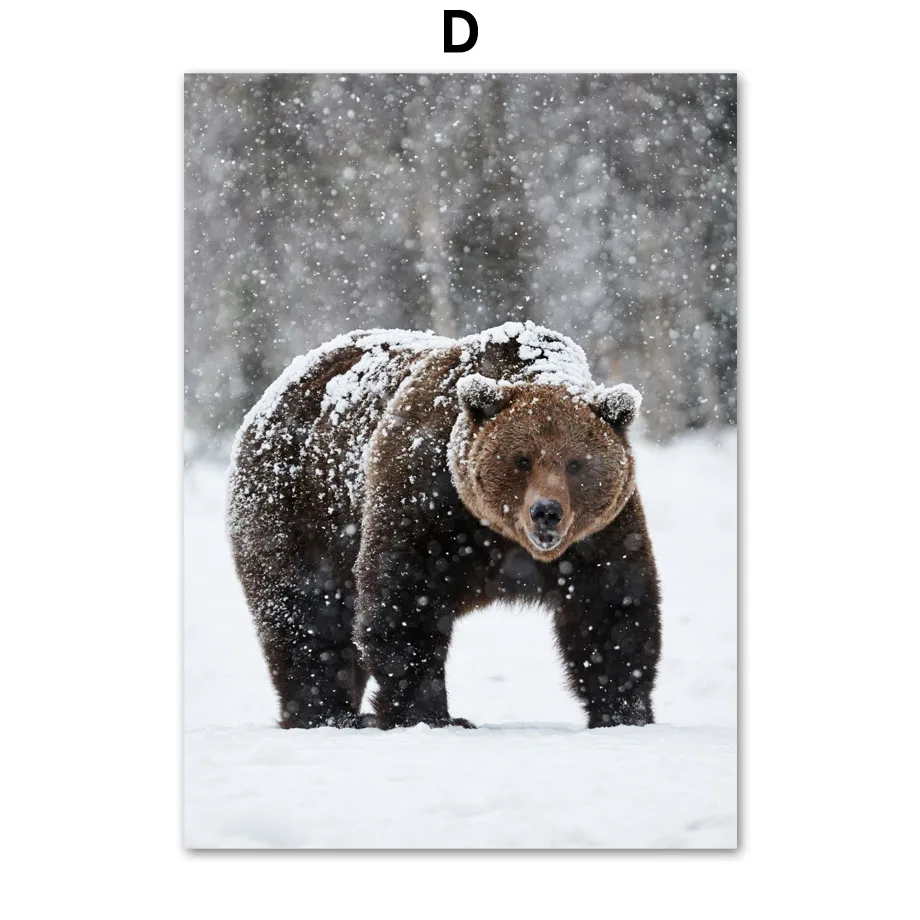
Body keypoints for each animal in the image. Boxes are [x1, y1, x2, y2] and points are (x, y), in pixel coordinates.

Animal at [227, 321, 661, 730]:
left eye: (575, 464)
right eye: (522, 460)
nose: (546, 511)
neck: (500, 536)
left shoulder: (600, 533)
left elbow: (612, 608)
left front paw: (624, 711)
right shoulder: (425, 499)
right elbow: (404, 602)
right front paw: (430, 714)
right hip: (299, 509)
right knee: (307, 615)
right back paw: (327, 714)